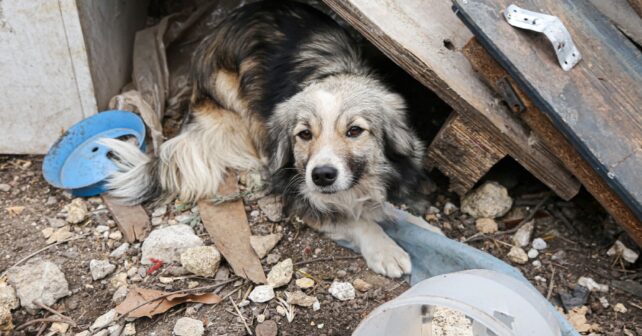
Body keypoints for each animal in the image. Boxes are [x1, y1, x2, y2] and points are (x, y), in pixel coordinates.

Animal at [102, 0, 424, 278]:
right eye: (304, 134)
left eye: (355, 131)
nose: (322, 176)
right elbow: (356, 220)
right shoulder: (299, 192)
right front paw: (386, 250)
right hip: (233, 95)